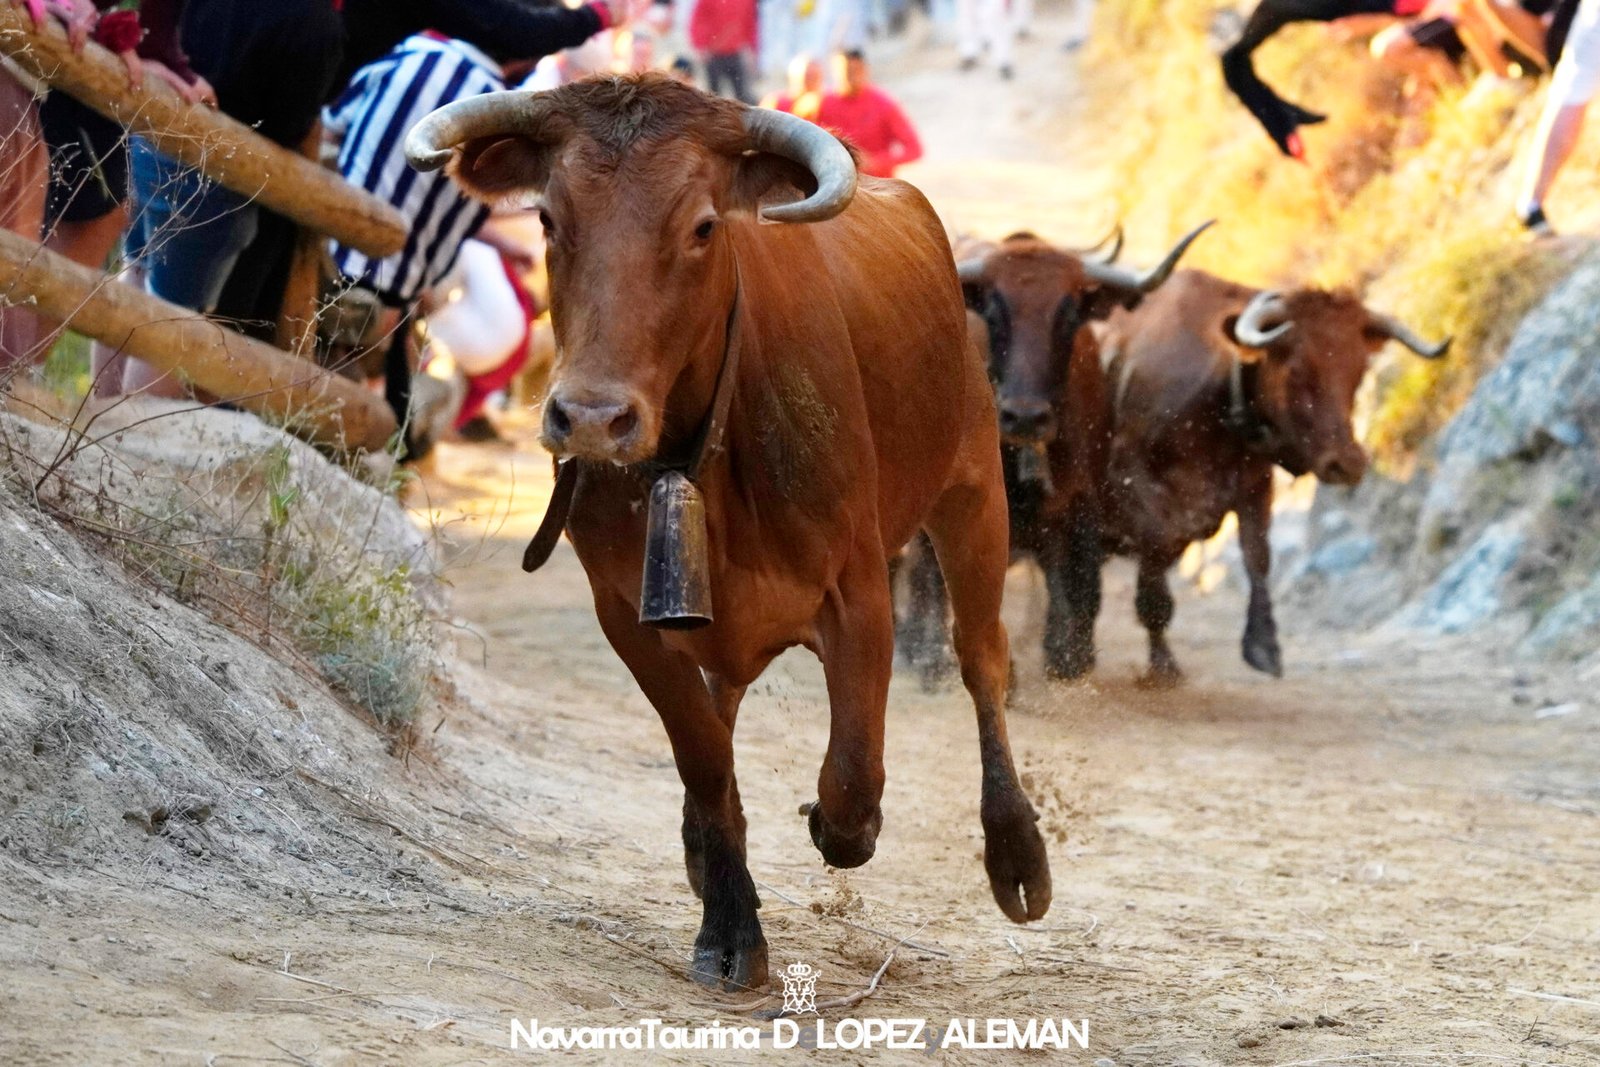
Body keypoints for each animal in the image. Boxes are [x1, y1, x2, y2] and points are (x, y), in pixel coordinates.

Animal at [902, 225, 1209, 684]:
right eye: (994, 310)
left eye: (1068, 315)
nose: (1025, 416)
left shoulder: (1081, 504)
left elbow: (1082, 591)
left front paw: (1069, 659)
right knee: (925, 576)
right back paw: (925, 656)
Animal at [1100, 268, 1452, 684]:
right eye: (1297, 370)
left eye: (1358, 373)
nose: (1347, 462)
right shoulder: (1134, 484)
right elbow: (1155, 555)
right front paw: (1163, 663)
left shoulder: (1254, 488)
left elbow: (1258, 557)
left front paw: (1263, 645)